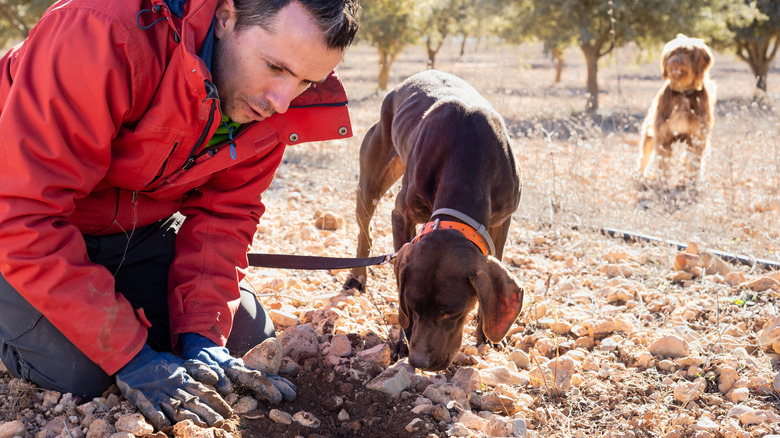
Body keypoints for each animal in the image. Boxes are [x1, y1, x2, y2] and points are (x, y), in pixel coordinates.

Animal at [346, 70, 524, 372]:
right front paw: (402, 342)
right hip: (370, 183)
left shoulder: (502, 221)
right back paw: (356, 278)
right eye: (413, 306)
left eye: (453, 312)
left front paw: (486, 338)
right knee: (364, 232)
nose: (420, 361)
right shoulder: (401, 216)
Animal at [636, 32, 716, 186]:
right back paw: (640, 176)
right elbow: (663, 161)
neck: (683, 92)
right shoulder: (663, 135)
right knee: (644, 156)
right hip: (649, 134)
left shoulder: (697, 137)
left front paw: (692, 181)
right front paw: (662, 182)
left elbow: (693, 160)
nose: (676, 61)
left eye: (687, 52)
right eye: (673, 53)